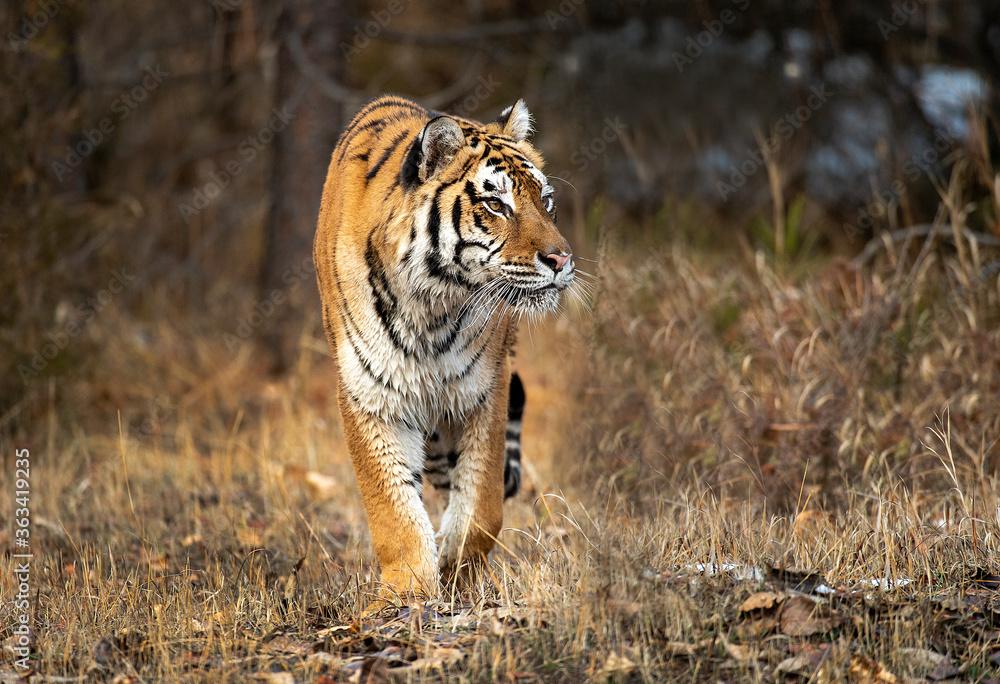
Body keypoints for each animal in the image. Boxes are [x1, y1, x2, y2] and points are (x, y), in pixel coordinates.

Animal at [313, 94, 574, 598]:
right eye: (496, 203)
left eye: (546, 201)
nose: (561, 259)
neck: (434, 303)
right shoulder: (368, 395)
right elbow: (394, 511)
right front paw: (408, 595)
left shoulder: (485, 389)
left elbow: (482, 503)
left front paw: (460, 576)